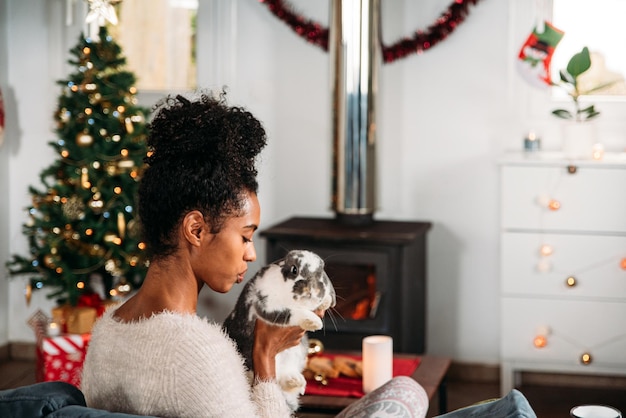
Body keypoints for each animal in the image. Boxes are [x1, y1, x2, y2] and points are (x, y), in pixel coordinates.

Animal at [222, 248, 334, 412]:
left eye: (321, 272)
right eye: (294, 270)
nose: (313, 289)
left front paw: (326, 301)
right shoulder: (268, 305)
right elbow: (291, 313)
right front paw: (314, 322)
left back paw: (296, 382)